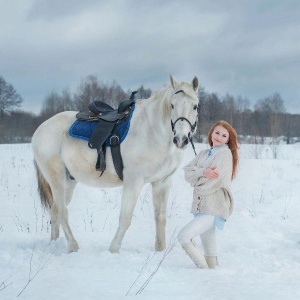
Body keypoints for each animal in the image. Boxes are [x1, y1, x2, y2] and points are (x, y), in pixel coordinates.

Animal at [32, 75, 199, 253]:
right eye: (172, 105)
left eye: (195, 106)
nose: (181, 139)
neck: (153, 131)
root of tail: (40, 129)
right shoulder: (134, 181)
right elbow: (125, 218)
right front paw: (114, 249)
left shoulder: (163, 182)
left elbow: (160, 218)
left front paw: (159, 250)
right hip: (56, 179)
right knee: (62, 212)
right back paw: (73, 246)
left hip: (69, 181)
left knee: (55, 211)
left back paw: (54, 243)